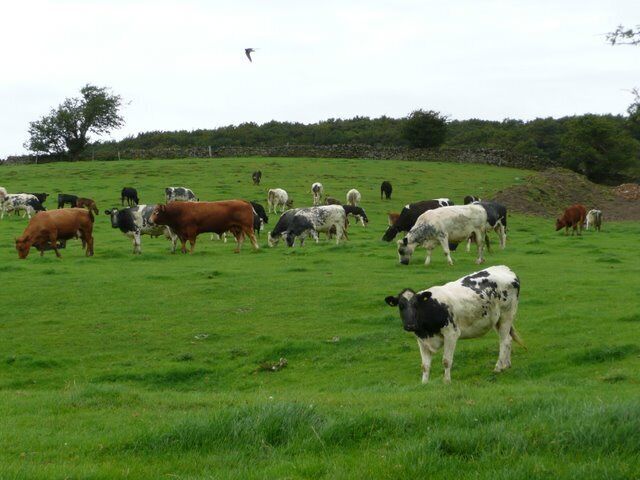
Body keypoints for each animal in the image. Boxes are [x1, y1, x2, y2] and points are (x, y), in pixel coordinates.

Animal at [384, 265, 523, 384]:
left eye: (416, 305)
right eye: (401, 306)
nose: (410, 325)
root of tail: (505, 269)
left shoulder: (451, 334)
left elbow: (446, 361)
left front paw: (446, 381)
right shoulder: (422, 339)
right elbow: (425, 365)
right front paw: (424, 383)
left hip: (507, 315)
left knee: (504, 341)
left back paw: (498, 368)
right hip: (497, 320)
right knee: (508, 339)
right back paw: (506, 365)